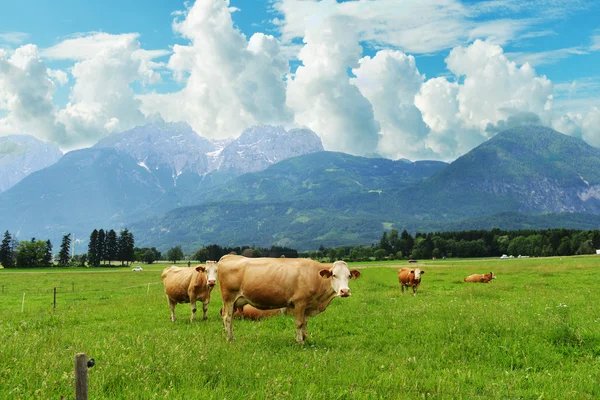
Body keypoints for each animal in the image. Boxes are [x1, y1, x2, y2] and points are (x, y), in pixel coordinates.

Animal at [217, 255, 360, 342]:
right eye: (334, 275)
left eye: (349, 276)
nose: (345, 291)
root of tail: (229, 256)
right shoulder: (299, 303)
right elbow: (299, 323)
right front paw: (300, 341)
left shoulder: (307, 305)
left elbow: (305, 323)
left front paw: (305, 338)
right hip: (229, 298)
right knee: (227, 318)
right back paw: (229, 339)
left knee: (230, 318)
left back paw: (232, 337)